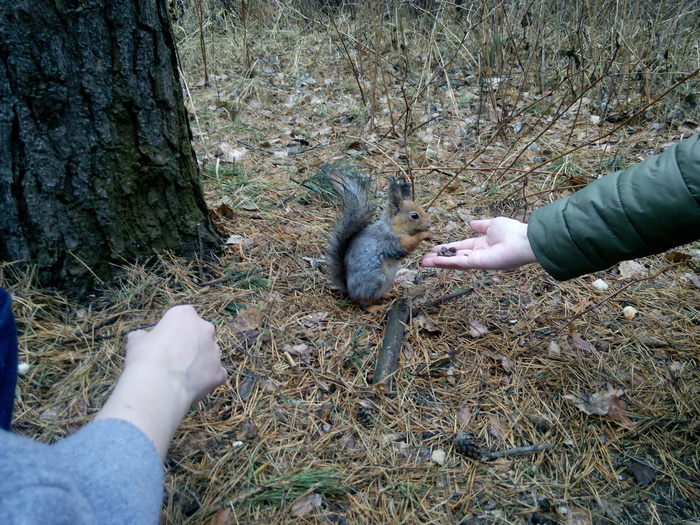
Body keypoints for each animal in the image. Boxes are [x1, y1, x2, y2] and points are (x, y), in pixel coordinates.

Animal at [324, 168, 432, 308]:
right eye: (414, 215)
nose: (429, 224)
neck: (393, 225)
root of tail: (350, 291)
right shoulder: (390, 239)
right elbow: (407, 244)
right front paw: (423, 235)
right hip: (375, 280)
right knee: (363, 304)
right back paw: (376, 308)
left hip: (387, 280)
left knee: (378, 295)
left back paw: (389, 294)